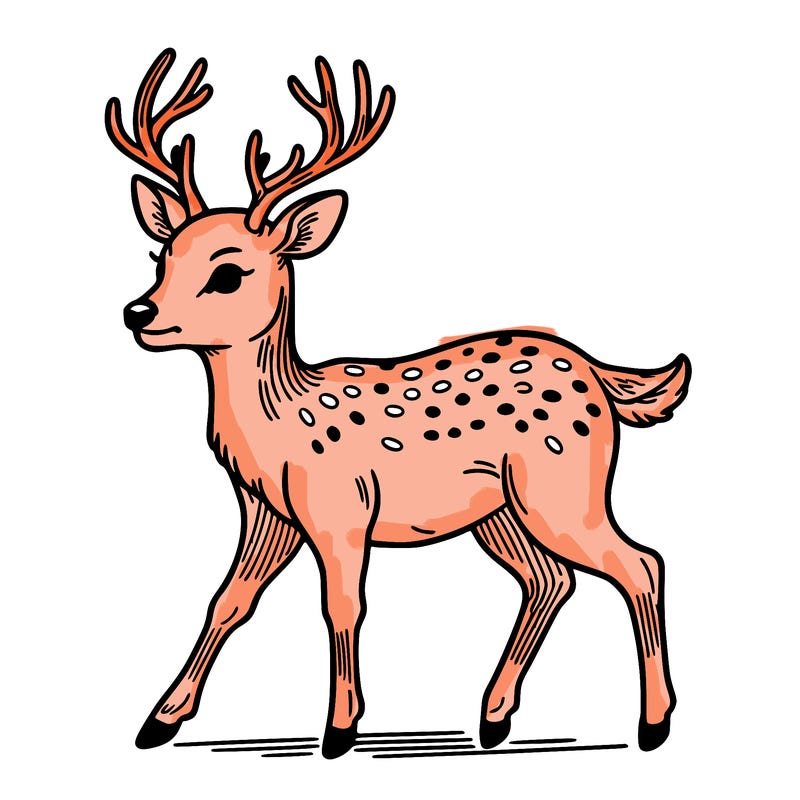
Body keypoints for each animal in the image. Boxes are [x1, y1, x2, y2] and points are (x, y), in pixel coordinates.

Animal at [107, 49, 691, 759]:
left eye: (227, 272)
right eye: (161, 255)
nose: (139, 313)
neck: (278, 424)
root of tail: (599, 375)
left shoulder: (341, 507)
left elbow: (342, 606)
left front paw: (339, 729)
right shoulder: (267, 513)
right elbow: (230, 600)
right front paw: (159, 720)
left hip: (563, 486)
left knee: (640, 563)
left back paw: (653, 723)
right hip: (502, 510)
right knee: (550, 580)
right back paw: (493, 717)